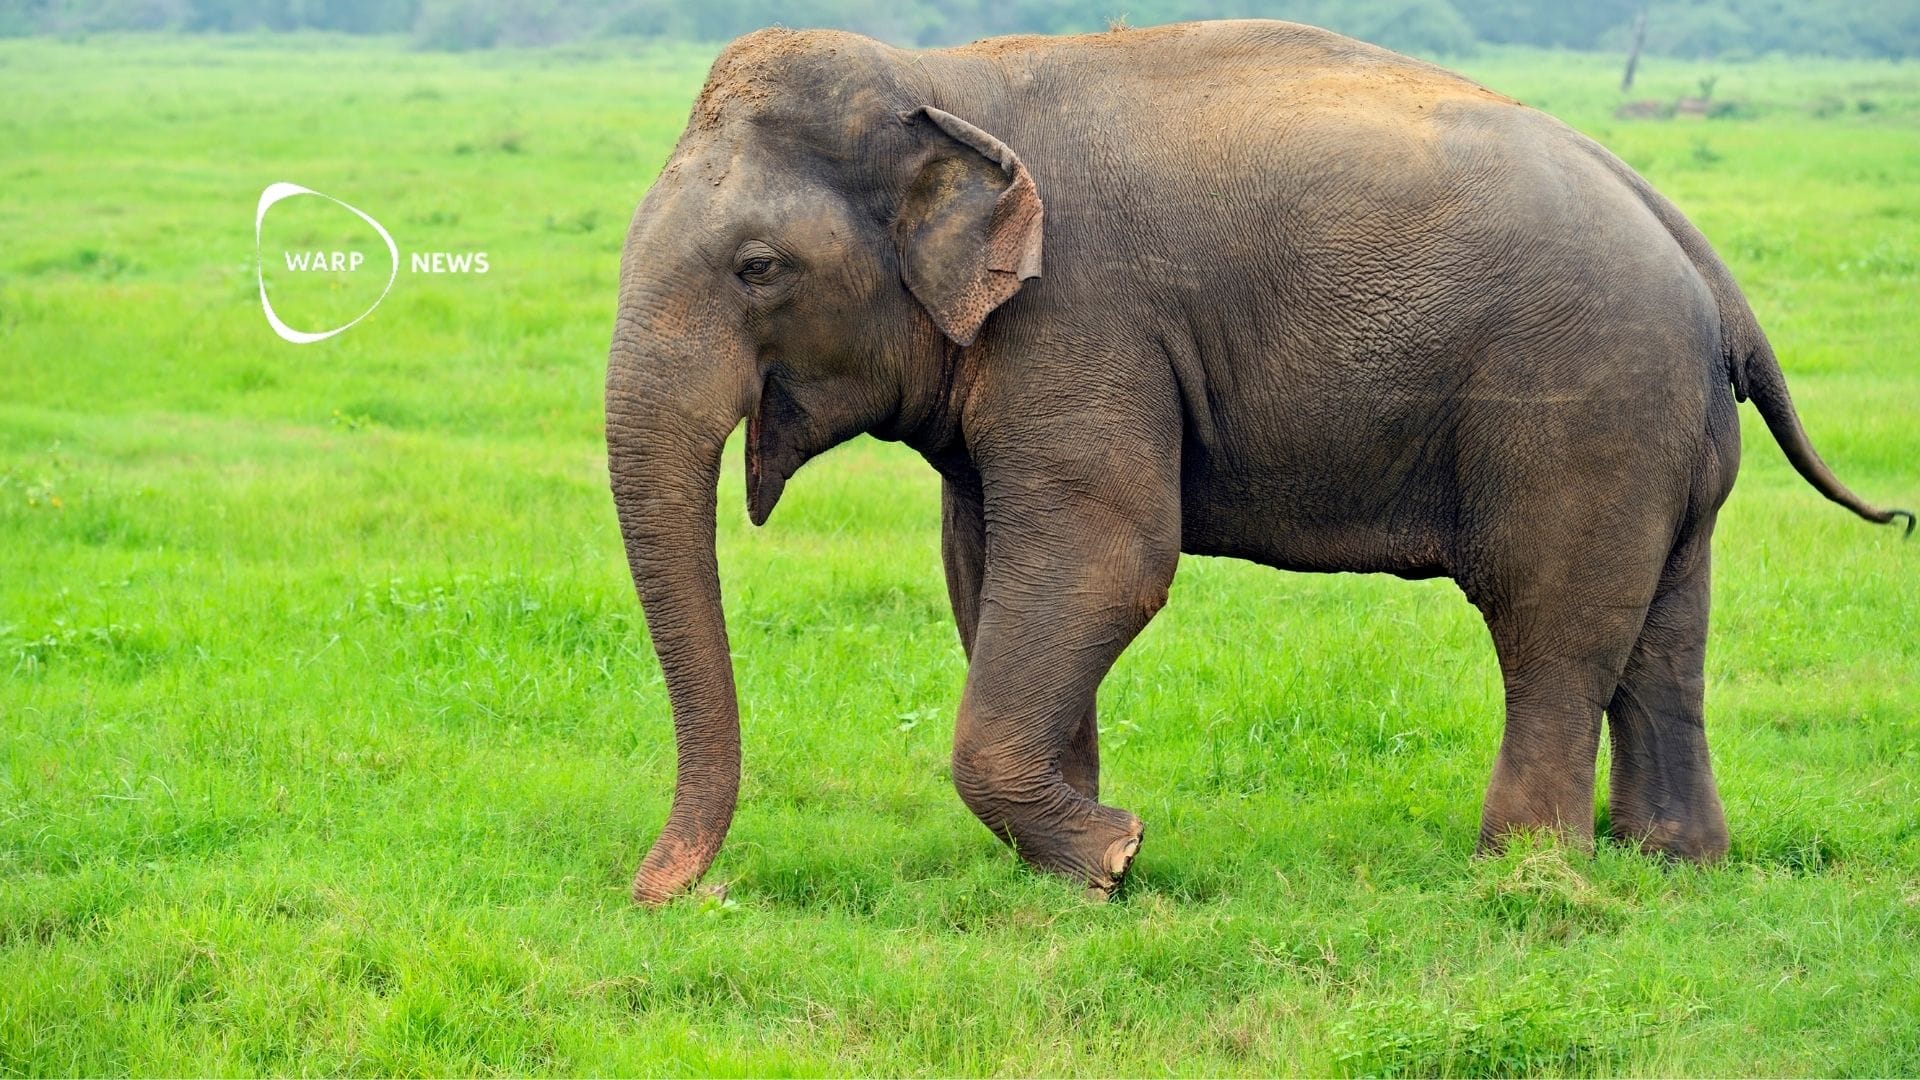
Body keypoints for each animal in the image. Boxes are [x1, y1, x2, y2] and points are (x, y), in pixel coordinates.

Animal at [605, 19, 1911, 905]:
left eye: (758, 268)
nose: (668, 893)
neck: (947, 75)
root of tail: (1698, 253)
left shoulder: (1084, 318)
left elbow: (1110, 557)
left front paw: (1115, 856)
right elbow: (984, 566)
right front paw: (1080, 866)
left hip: (1584, 407)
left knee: (1554, 620)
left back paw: (1520, 874)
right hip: (1666, 431)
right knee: (1665, 628)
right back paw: (1673, 864)